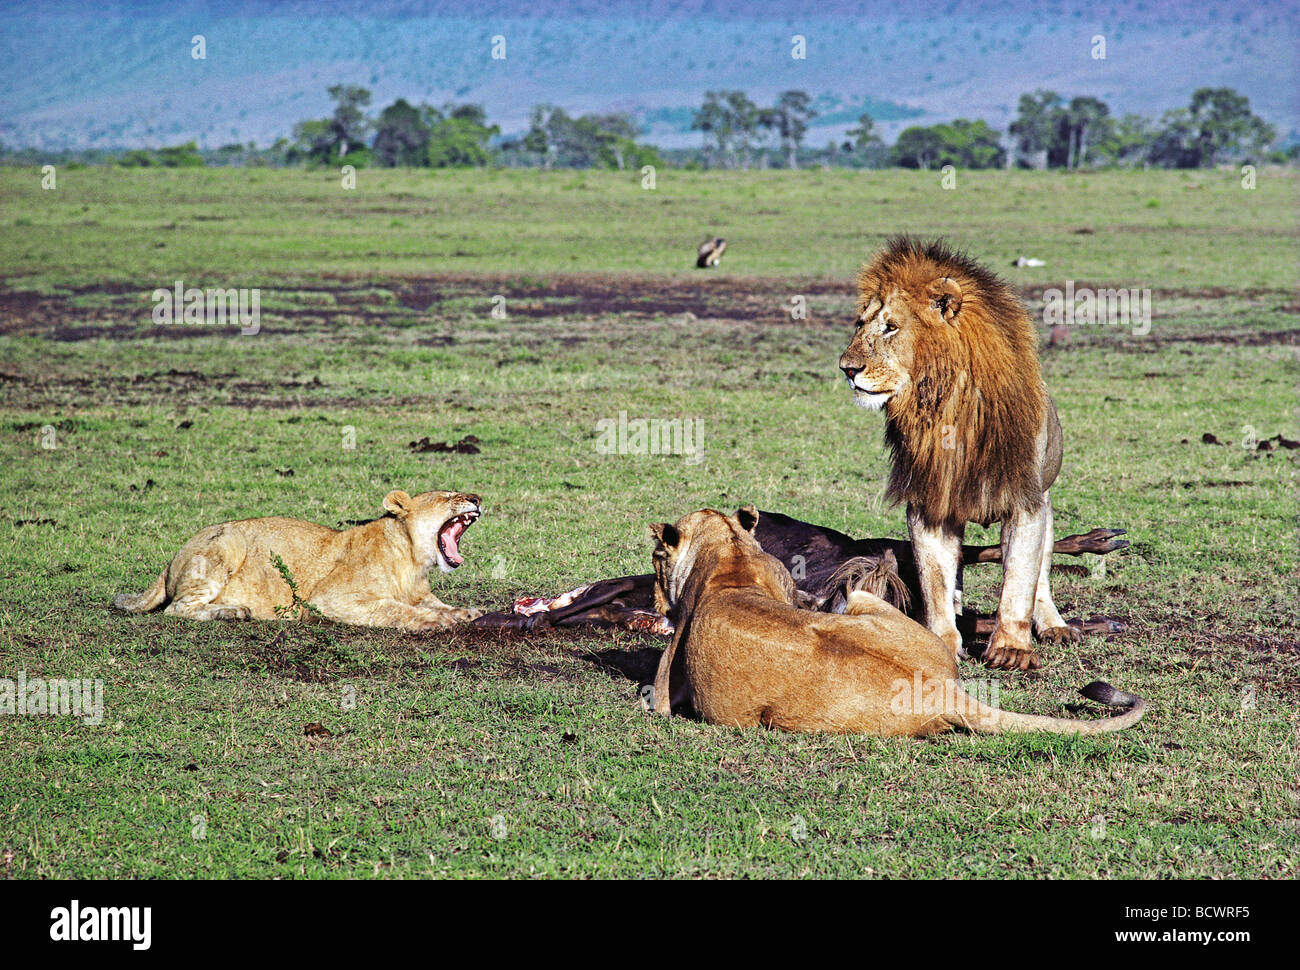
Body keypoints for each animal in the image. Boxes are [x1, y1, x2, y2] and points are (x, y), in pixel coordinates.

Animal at [113, 486, 483, 631]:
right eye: (448, 497)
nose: (478, 498)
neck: (413, 559)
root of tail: (172, 559)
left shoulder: (421, 592)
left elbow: (435, 604)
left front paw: (466, 612)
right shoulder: (329, 598)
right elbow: (394, 609)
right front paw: (439, 621)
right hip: (227, 543)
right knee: (177, 608)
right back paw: (233, 612)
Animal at [644, 507, 1144, 733]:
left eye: (656, 556)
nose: (654, 602)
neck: (730, 555)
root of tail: (942, 691)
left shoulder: (665, 691)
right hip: (867, 593)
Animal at [842, 237, 1076, 670]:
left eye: (891, 326)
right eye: (860, 324)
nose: (846, 369)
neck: (947, 405)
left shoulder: (1026, 503)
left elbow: (1019, 581)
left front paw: (1012, 649)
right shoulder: (930, 502)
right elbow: (935, 581)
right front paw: (939, 641)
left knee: (1041, 576)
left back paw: (1054, 624)